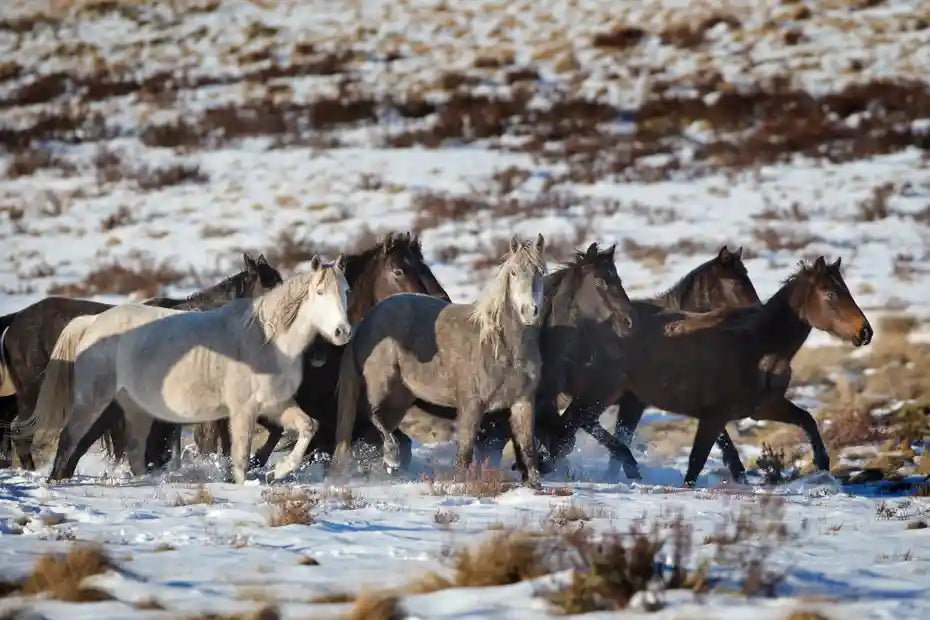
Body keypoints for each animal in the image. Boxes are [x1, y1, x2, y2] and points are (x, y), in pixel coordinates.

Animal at [20, 256, 348, 484]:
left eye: (345, 290)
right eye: (320, 292)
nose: (342, 331)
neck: (263, 338)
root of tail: (93, 323)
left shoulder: (273, 405)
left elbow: (306, 427)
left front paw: (277, 471)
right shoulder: (240, 411)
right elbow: (239, 455)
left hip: (136, 410)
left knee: (133, 451)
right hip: (95, 403)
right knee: (71, 441)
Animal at [334, 235, 548, 486]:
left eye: (541, 271)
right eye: (513, 272)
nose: (529, 311)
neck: (502, 346)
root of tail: (367, 320)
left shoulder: (522, 402)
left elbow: (527, 447)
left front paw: (533, 484)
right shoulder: (471, 405)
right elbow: (464, 453)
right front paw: (460, 484)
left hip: (400, 397)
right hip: (380, 384)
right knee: (371, 415)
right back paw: (391, 456)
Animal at [604, 256, 868, 484]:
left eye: (846, 290)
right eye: (830, 293)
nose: (865, 331)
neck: (759, 347)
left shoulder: (764, 407)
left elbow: (807, 420)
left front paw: (822, 464)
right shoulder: (713, 415)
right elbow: (701, 459)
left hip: (631, 402)